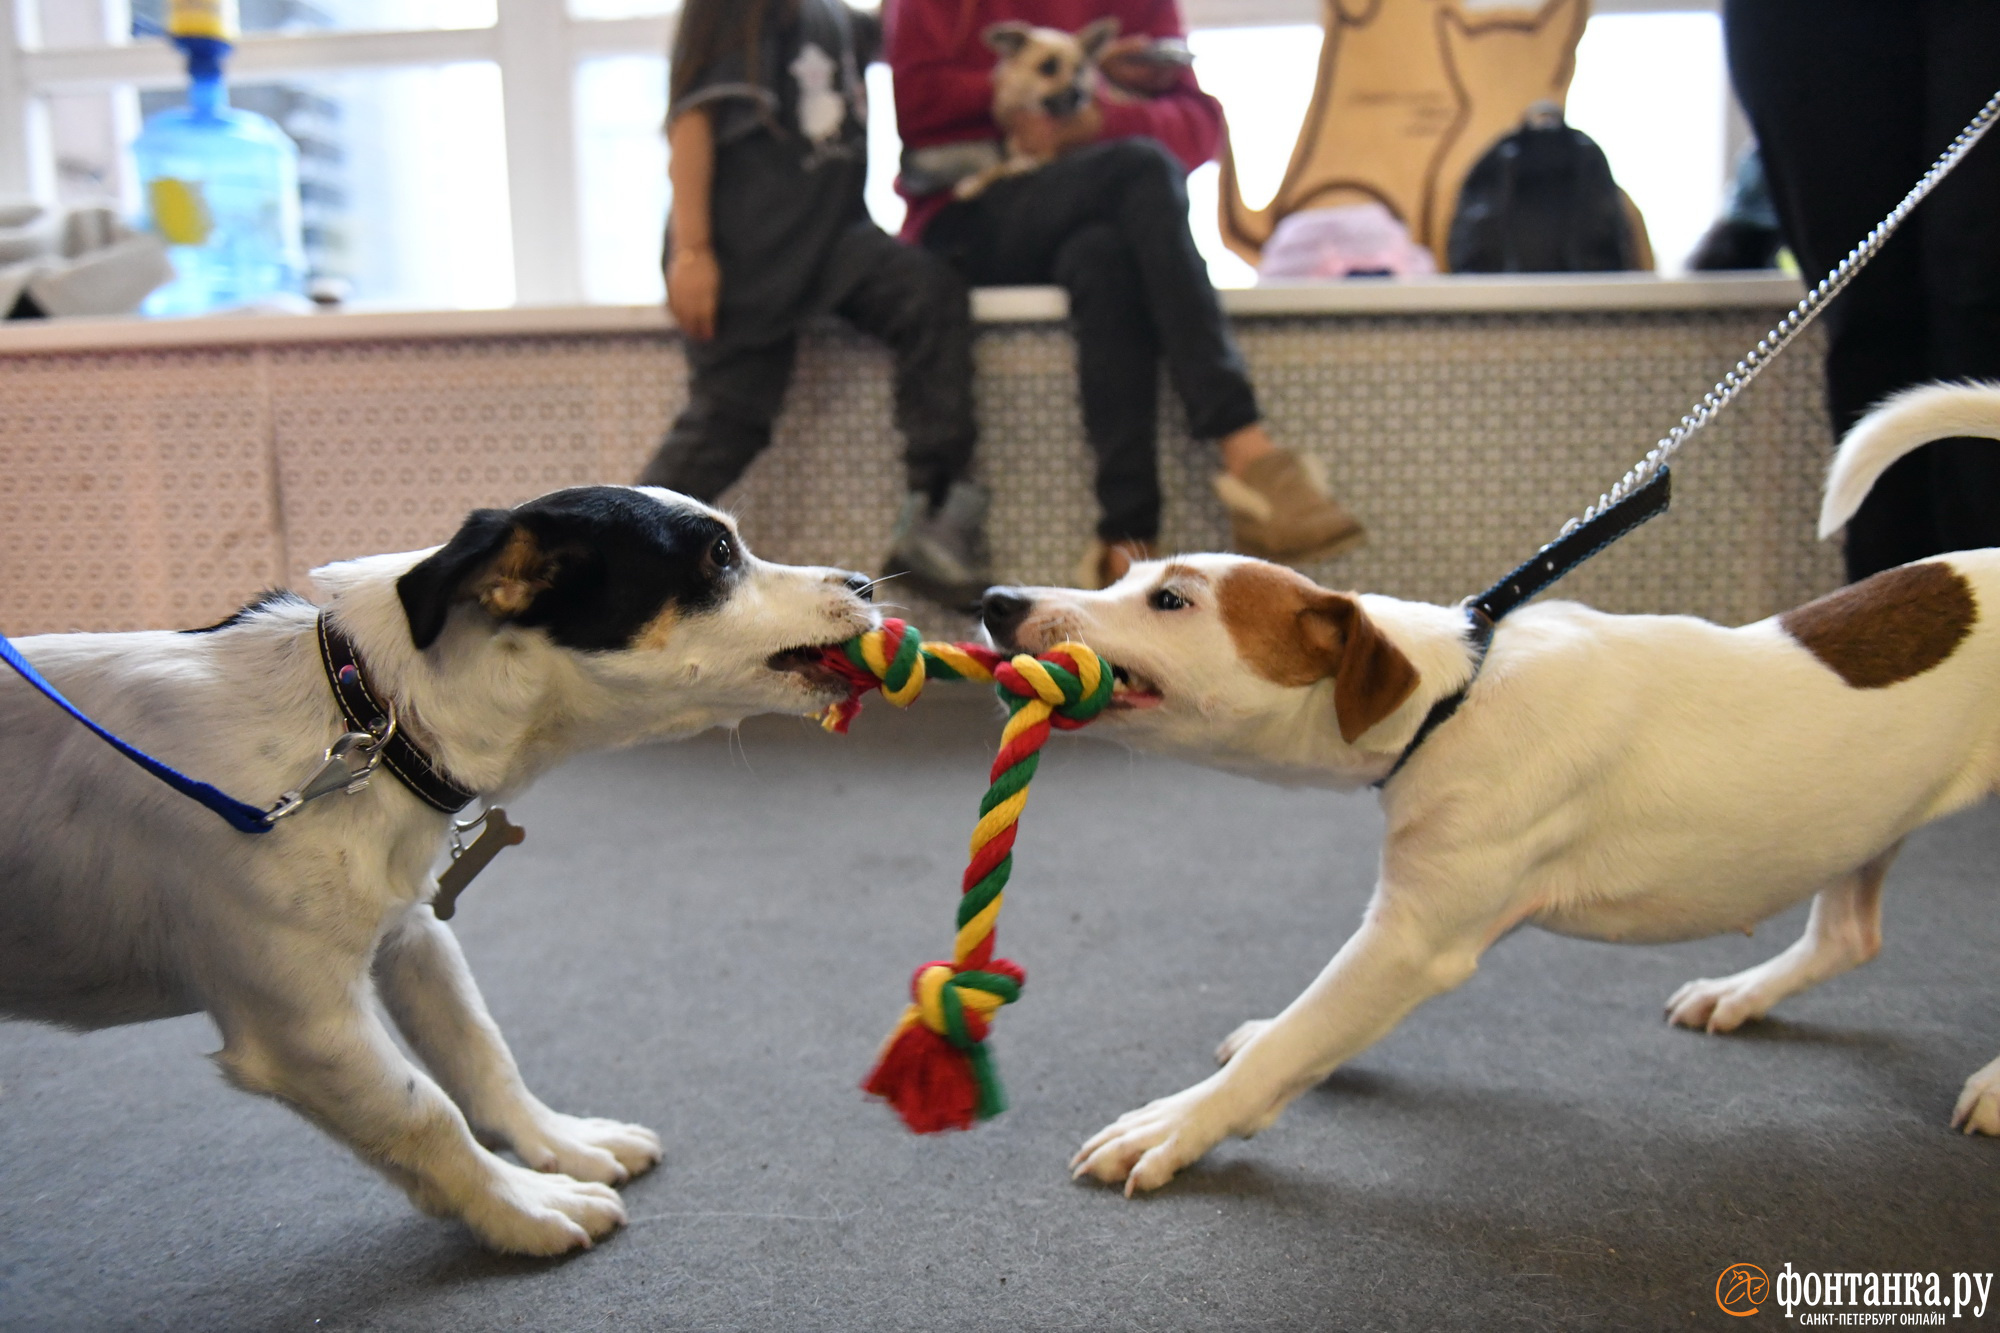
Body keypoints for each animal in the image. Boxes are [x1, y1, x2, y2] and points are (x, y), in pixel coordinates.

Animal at [1, 482, 876, 1248]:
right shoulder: (305, 1025)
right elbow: (425, 1112)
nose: (867, 581)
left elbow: (478, 1047)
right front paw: (523, 1207)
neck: (361, 715)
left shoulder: (410, 933)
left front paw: (558, 1143)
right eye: (721, 554)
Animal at [980, 382, 2000, 1192]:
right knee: (1849, 935)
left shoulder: (1413, 939)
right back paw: (1743, 992)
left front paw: (1178, 1122)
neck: (1449, 697)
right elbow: (1306, 1031)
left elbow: (1291, 1042)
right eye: (1127, 577)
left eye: (1171, 601)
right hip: (1869, 819)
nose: (996, 601)